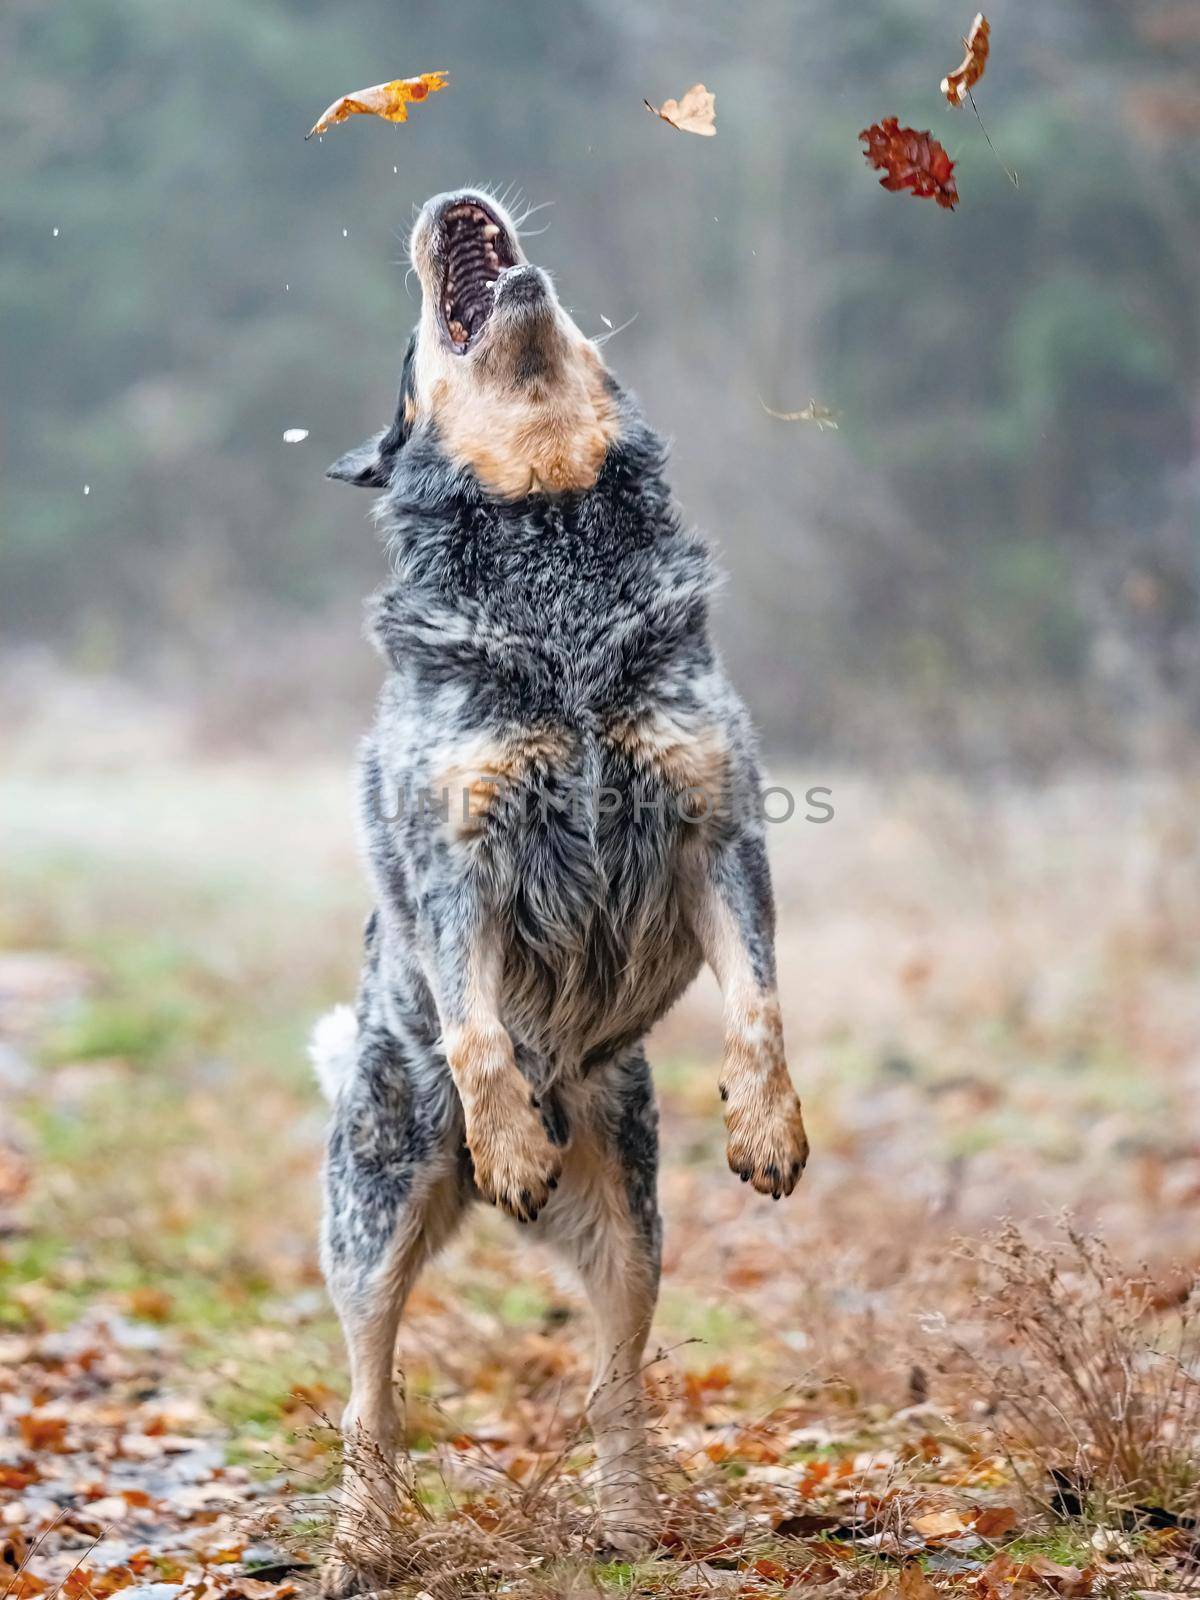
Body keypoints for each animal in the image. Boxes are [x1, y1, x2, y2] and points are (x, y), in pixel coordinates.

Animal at [315, 190, 812, 1587]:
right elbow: (480, 1024)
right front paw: (507, 1136)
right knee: (370, 1393)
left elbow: (759, 1003)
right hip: (371, 1216)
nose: (452, 198)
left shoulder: (717, 831)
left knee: (615, 1375)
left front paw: (768, 1125)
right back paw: (359, 1541)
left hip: (633, 1218)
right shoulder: (457, 861)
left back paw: (628, 1519)